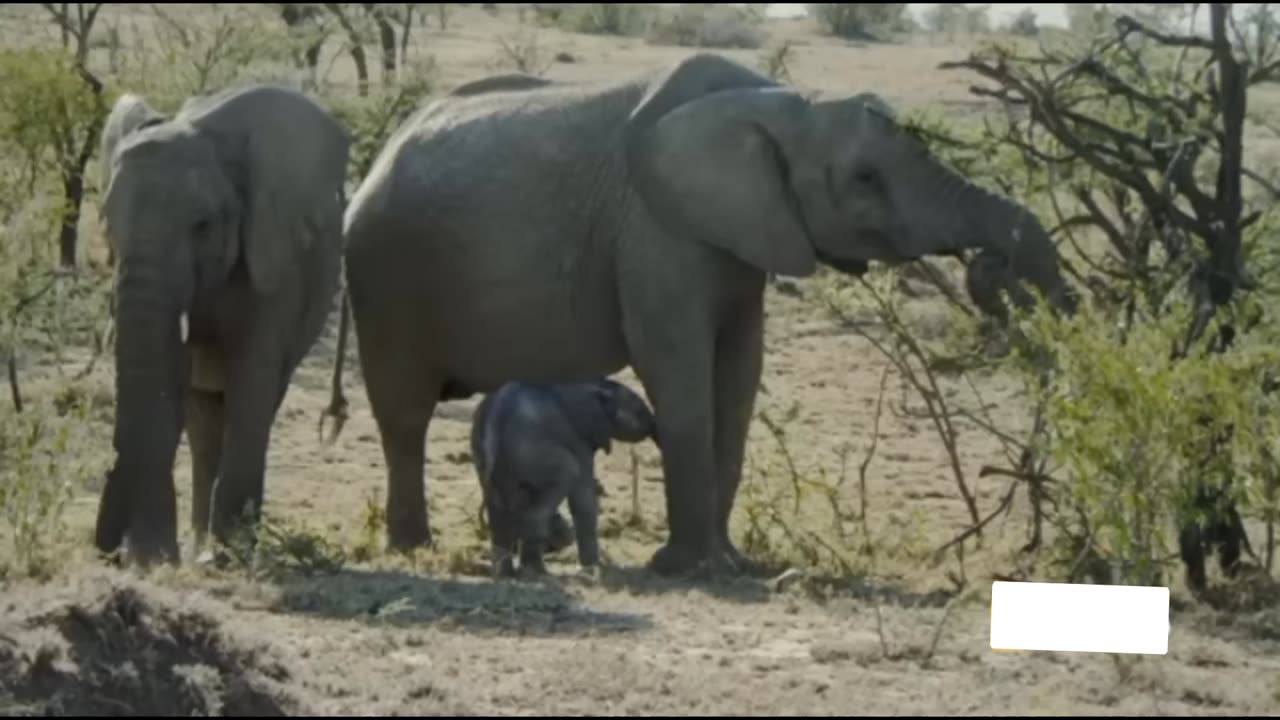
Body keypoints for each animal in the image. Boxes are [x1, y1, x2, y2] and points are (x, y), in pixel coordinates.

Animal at [90, 83, 353, 566]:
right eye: (108, 225)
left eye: (203, 226)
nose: (110, 550)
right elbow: (175, 380)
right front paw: (156, 558)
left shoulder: (274, 258)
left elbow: (252, 378)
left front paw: (229, 551)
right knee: (204, 414)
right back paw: (200, 545)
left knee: (255, 401)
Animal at [476, 379, 665, 573]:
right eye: (640, 411)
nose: (655, 427)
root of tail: (495, 422)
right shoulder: (579, 438)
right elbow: (584, 496)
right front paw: (596, 567)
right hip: (533, 451)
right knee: (566, 474)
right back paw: (536, 573)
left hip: (487, 456)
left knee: (499, 517)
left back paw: (506, 574)